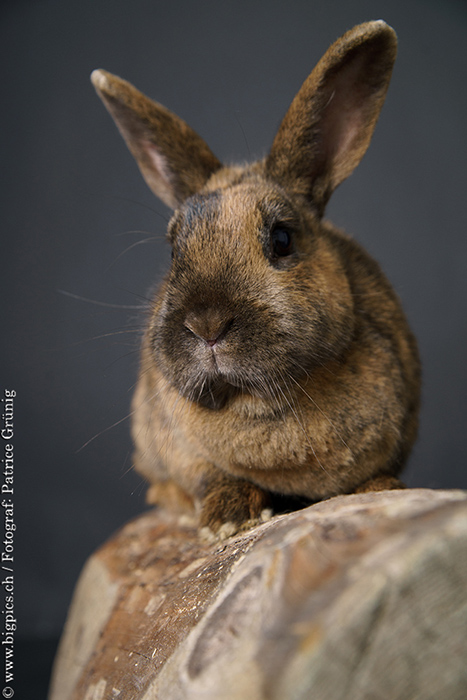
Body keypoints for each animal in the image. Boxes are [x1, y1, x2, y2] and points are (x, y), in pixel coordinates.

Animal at [90, 20, 420, 536]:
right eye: (173, 249)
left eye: (282, 238)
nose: (206, 326)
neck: (253, 400)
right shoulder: (177, 448)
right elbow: (210, 477)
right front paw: (227, 517)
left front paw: (381, 491)